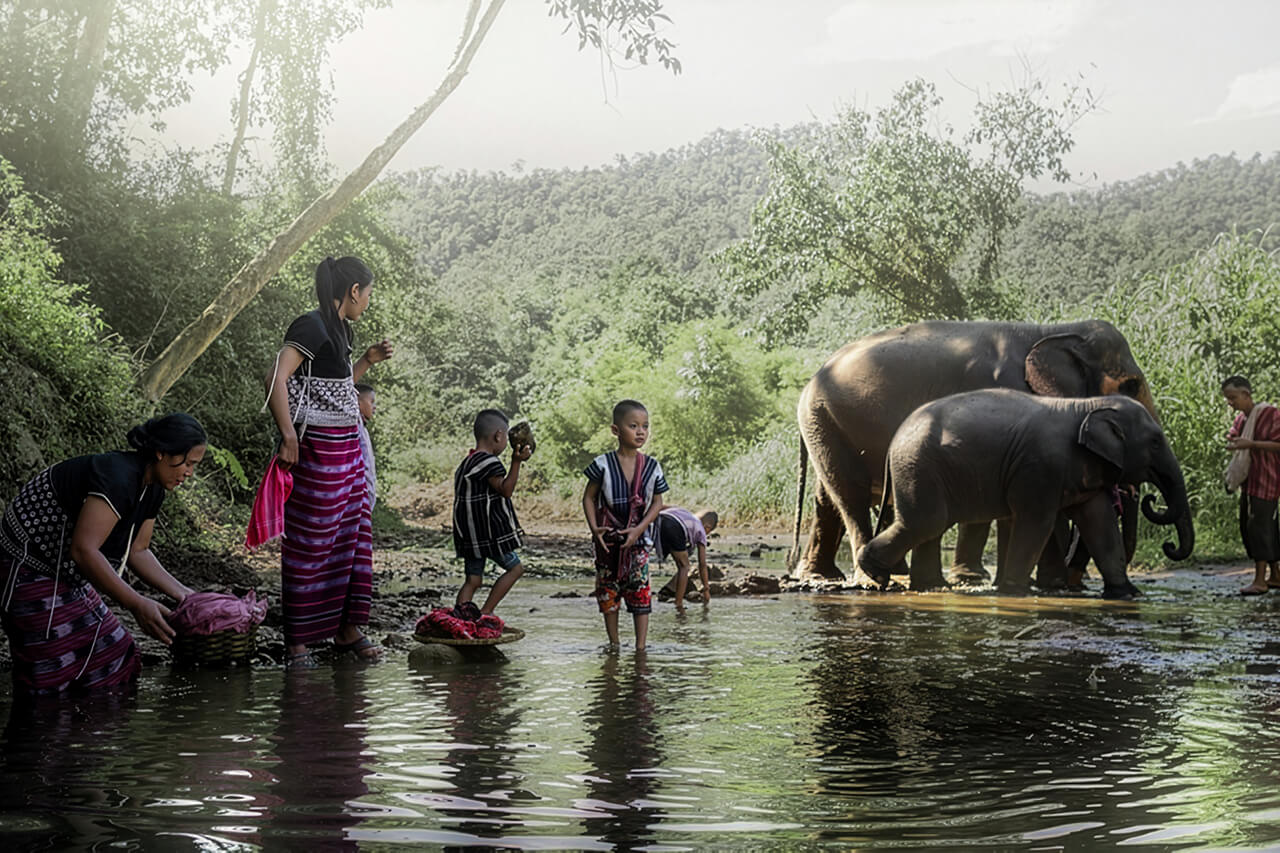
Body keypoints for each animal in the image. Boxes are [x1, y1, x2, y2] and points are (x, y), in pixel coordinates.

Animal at [788, 320, 1157, 585]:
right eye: (1131, 385)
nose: (1075, 579)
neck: (1049, 330)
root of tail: (812, 378)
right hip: (824, 421)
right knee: (851, 497)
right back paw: (874, 578)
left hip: (826, 426)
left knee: (828, 498)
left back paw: (828, 575)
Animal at [856, 390, 1194, 598]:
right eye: (1155, 441)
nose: (1169, 545)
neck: (1086, 404)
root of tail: (894, 440)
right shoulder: (1039, 466)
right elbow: (1036, 523)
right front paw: (1016, 590)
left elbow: (1099, 523)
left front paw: (1127, 594)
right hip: (919, 467)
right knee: (926, 523)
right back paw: (875, 574)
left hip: (925, 469)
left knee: (930, 527)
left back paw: (930, 586)